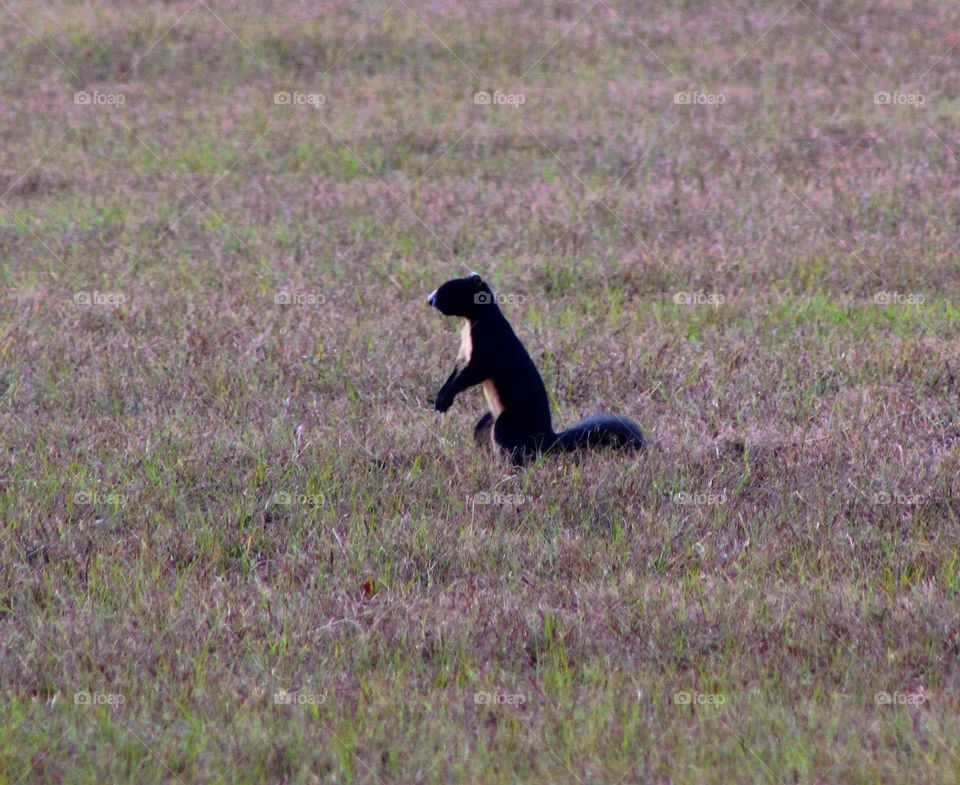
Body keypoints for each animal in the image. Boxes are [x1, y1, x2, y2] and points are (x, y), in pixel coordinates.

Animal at [428, 272, 644, 462]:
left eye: (454, 289)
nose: (430, 299)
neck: (473, 323)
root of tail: (546, 438)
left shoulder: (489, 348)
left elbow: (472, 374)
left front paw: (446, 399)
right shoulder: (464, 353)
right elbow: (456, 371)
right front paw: (441, 397)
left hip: (507, 423)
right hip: (488, 421)